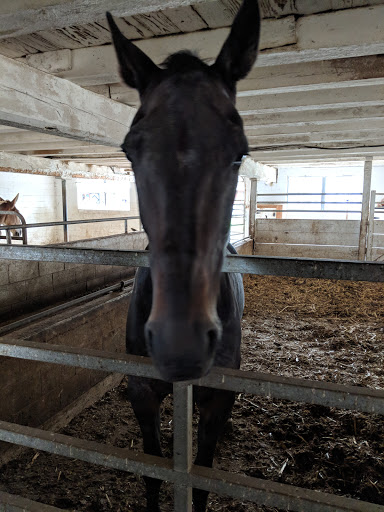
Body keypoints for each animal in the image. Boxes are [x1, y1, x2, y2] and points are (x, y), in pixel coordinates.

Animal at [106, 1, 260, 508]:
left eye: (240, 152)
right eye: (130, 151)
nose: (181, 344)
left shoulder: (218, 399)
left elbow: (204, 478)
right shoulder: (141, 392)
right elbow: (153, 472)